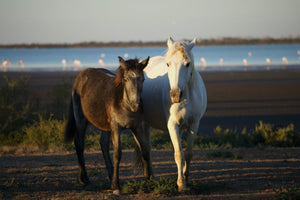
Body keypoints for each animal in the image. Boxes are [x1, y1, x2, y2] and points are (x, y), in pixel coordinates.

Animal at [141, 36, 206, 191]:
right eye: (168, 64)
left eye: (187, 64)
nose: (175, 95)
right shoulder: (172, 125)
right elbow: (178, 154)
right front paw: (181, 184)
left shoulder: (194, 125)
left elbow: (188, 153)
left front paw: (186, 178)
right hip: (144, 123)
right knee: (147, 149)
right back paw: (150, 178)